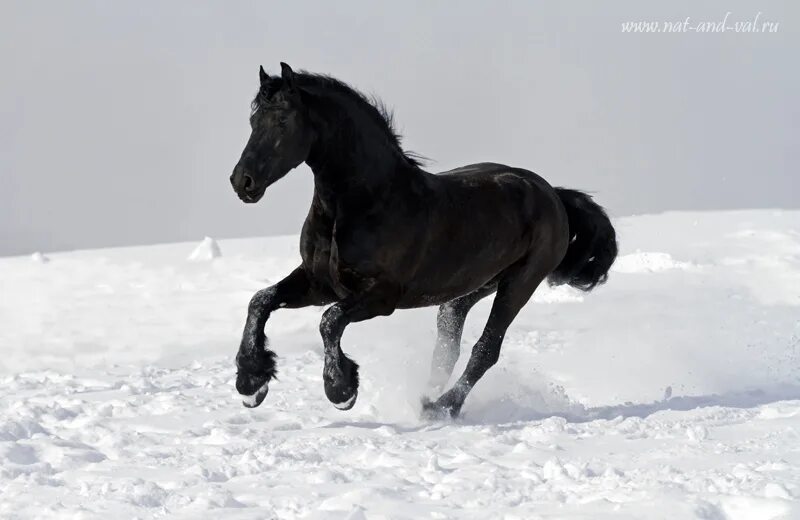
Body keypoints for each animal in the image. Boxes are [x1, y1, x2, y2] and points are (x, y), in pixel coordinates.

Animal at [231, 63, 620, 418]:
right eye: (253, 121)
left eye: (283, 121)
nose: (242, 182)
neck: (366, 203)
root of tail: (551, 193)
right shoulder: (318, 282)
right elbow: (260, 301)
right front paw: (252, 382)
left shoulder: (380, 296)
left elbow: (329, 321)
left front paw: (341, 390)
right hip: (468, 290)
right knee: (448, 348)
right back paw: (426, 398)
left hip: (519, 284)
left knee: (485, 350)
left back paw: (441, 406)